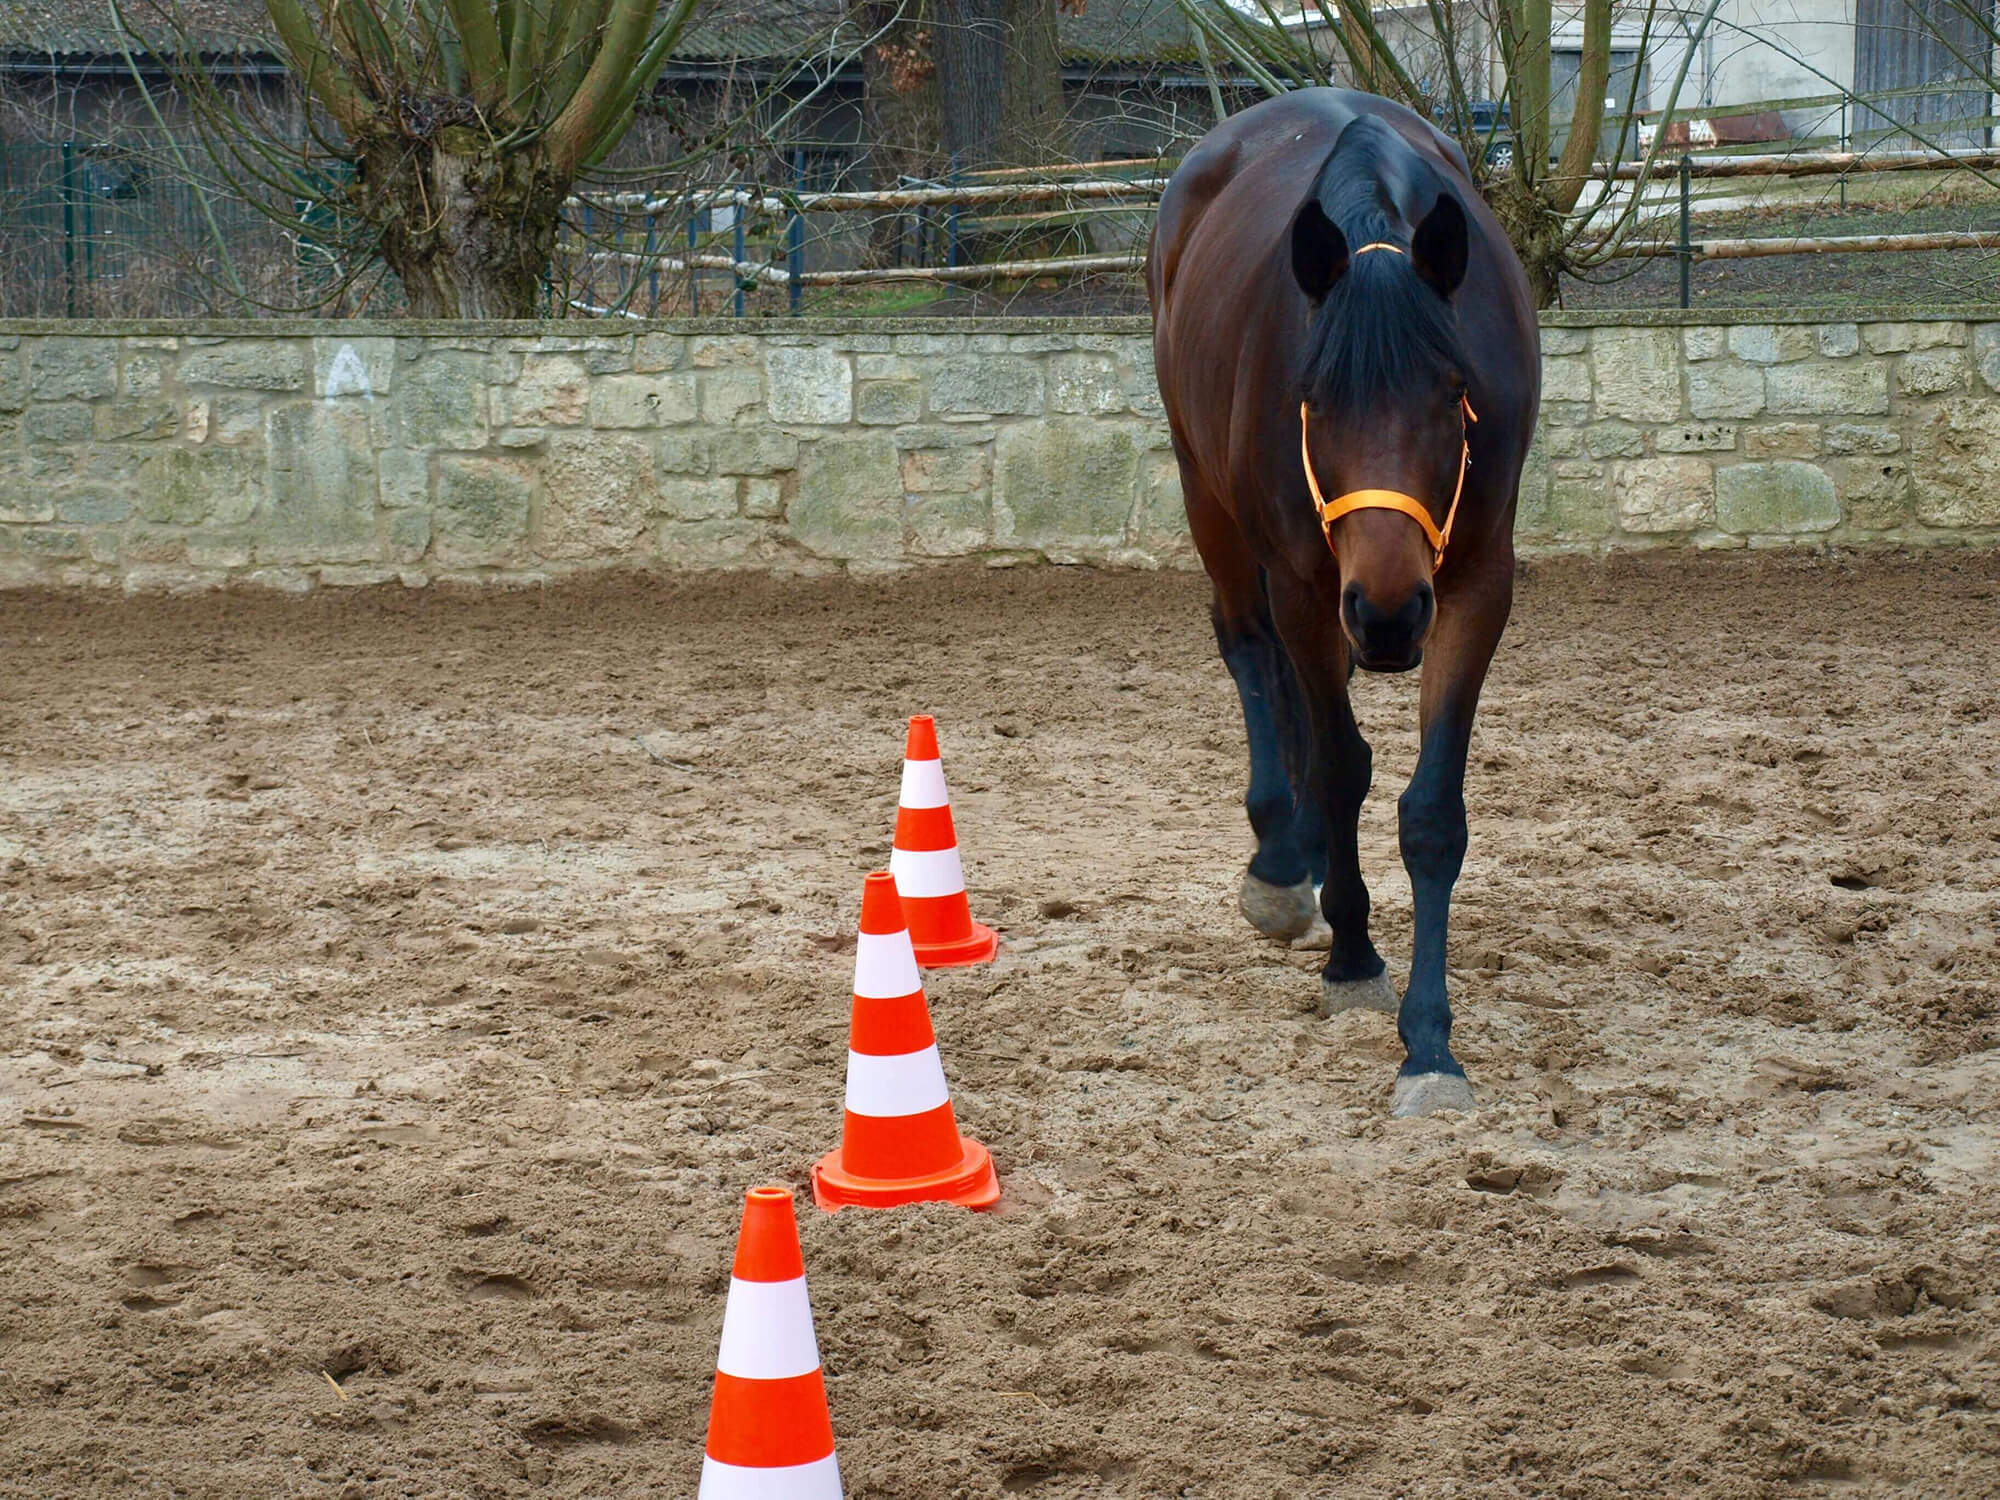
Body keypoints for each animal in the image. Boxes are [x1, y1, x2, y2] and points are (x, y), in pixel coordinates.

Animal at [1144, 85, 1544, 1120]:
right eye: (1314, 396)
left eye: (1454, 391)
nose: (1392, 613)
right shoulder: (1305, 579)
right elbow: (1339, 765)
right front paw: (1357, 958)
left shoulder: (1476, 583)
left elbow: (1431, 813)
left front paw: (1431, 1044)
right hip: (1212, 502)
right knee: (1253, 655)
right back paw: (1284, 863)